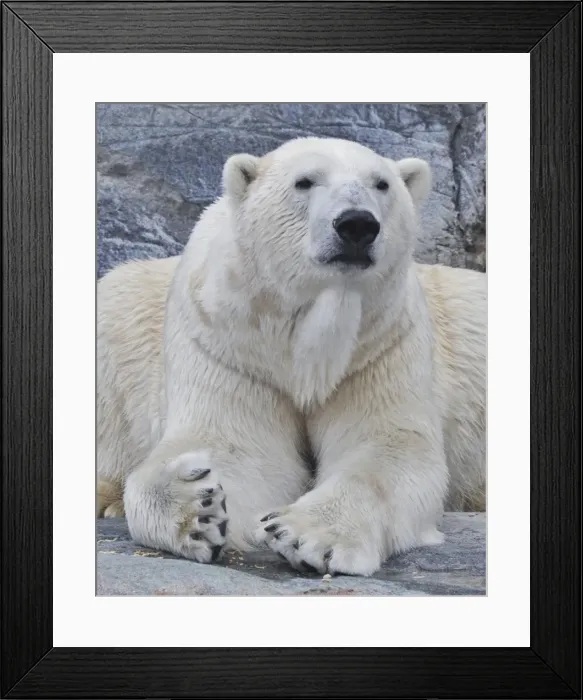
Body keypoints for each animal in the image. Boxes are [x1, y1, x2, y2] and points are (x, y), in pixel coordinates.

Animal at [97, 136, 486, 577]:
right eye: (305, 181)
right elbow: (234, 446)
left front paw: (303, 534)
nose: (357, 224)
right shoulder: (229, 344)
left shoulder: (381, 344)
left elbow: (389, 447)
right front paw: (197, 506)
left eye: (382, 183)